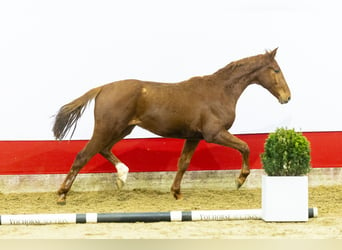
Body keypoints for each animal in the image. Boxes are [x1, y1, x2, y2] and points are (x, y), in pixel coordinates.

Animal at [53, 48, 292, 205]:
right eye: (276, 70)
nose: (287, 97)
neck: (219, 92)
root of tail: (102, 88)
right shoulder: (214, 134)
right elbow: (245, 147)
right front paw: (239, 180)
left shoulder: (194, 136)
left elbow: (183, 164)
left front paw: (177, 193)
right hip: (107, 129)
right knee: (83, 156)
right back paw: (63, 194)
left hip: (123, 130)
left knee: (103, 150)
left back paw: (122, 177)